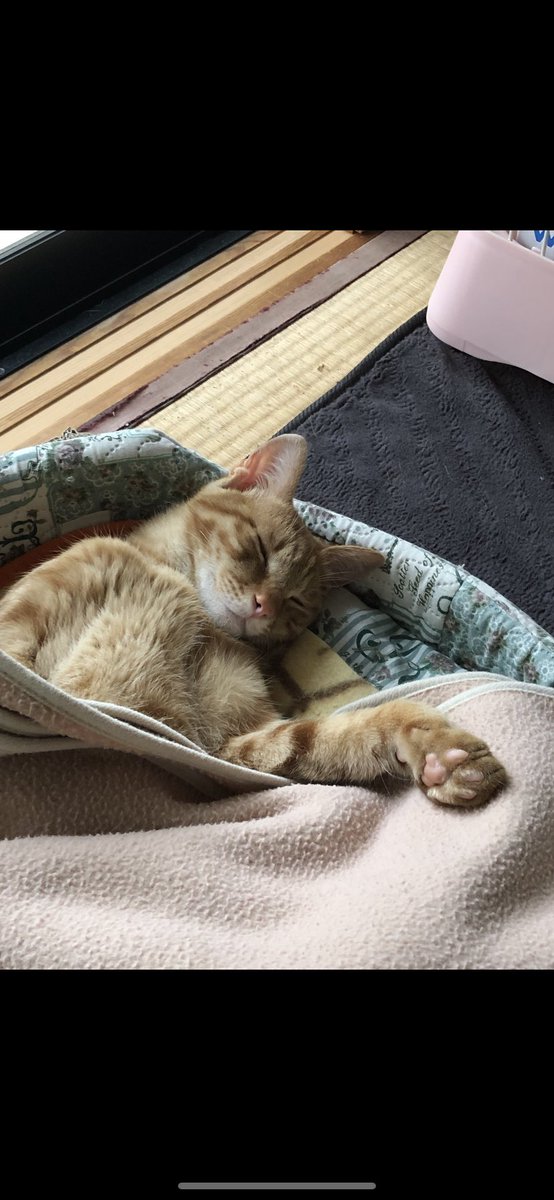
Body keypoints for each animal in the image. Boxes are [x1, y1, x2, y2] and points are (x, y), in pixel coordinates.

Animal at [0, 434, 507, 806]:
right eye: (261, 550)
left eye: (297, 601)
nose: (264, 604)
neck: (182, 590)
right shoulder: (19, 632)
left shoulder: (228, 751)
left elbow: (343, 733)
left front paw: (439, 751)